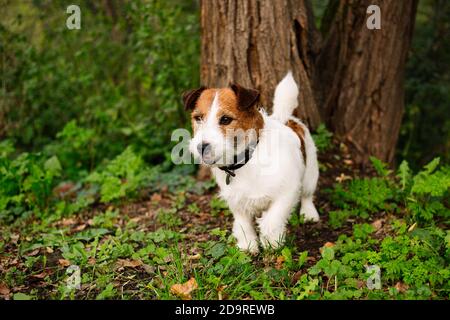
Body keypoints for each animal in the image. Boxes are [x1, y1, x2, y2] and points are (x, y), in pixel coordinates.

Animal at [183, 72, 320, 252]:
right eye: (198, 118)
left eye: (225, 119)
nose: (201, 147)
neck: (247, 160)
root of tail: (286, 119)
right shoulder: (236, 200)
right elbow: (243, 224)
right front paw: (248, 244)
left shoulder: (287, 191)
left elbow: (272, 219)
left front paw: (272, 241)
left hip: (310, 172)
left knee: (307, 195)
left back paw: (309, 213)